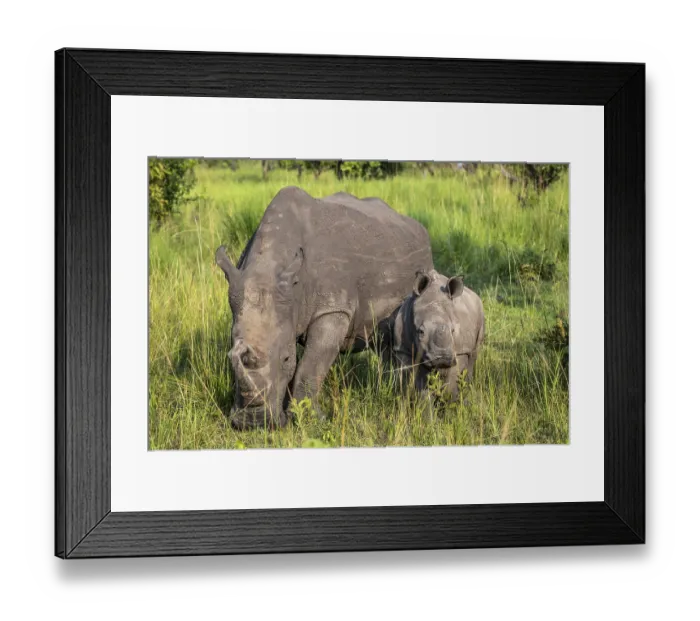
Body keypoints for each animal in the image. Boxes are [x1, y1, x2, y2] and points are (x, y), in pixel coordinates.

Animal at [215, 186, 433, 429]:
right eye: (230, 357)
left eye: (286, 359)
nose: (253, 423)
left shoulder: (333, 308)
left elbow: (311, 365)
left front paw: (310, 419)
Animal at [387, 269, 485, 401]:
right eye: (421, 332)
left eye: (453, 330)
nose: (442, 357)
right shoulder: (403, 350)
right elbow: (415, 385)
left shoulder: (460, 351)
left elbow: (451, 385)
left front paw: (451, 403)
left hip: (480, 312)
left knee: (473, 356)